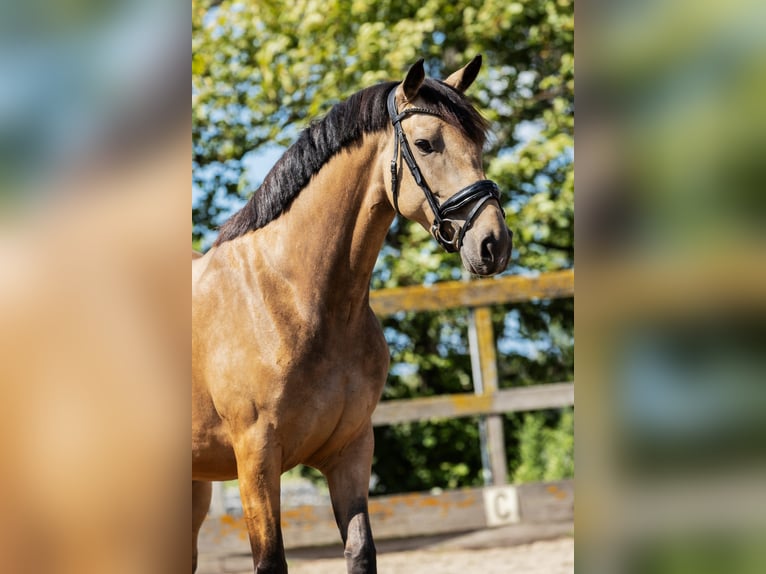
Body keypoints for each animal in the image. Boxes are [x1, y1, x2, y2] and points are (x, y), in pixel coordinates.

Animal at [194, 55, 516, 574]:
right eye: (425, 144)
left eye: (479, 144)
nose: (493, 244)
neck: (294, 299)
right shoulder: (256, 459)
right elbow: (271, 560)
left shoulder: (351, 451)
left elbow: (361, 549)